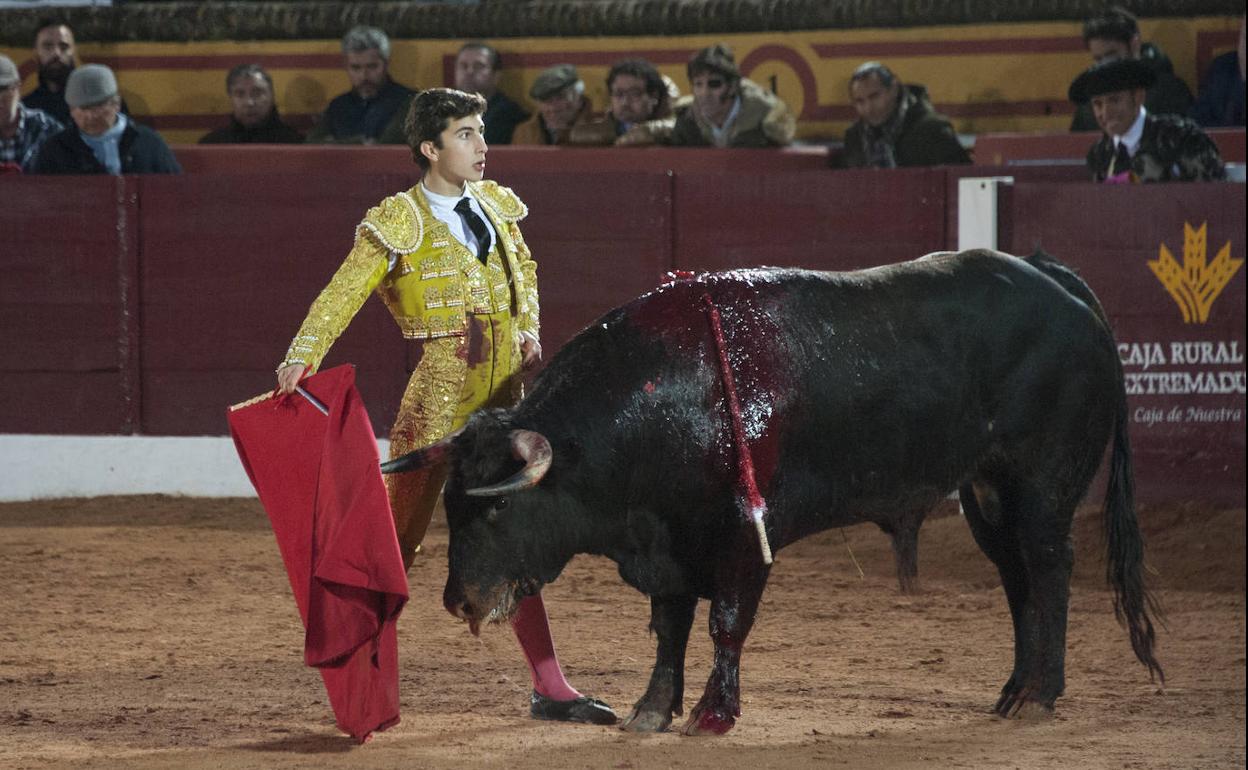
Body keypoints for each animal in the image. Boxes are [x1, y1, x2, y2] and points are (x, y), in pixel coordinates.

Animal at [379, 249, 1158, 733]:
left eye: (500, 505)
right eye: (451, 505)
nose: (460, 601)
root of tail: (1054, 281)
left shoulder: (742, 535)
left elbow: (726, 622)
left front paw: (713, 715)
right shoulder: (667, 540)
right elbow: (670, 628)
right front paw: (651, 710)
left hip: (1043, 483)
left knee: (1050, 570)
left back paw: (1042, 695)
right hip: (987, 491)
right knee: (1017, 578)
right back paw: (1013, 692)